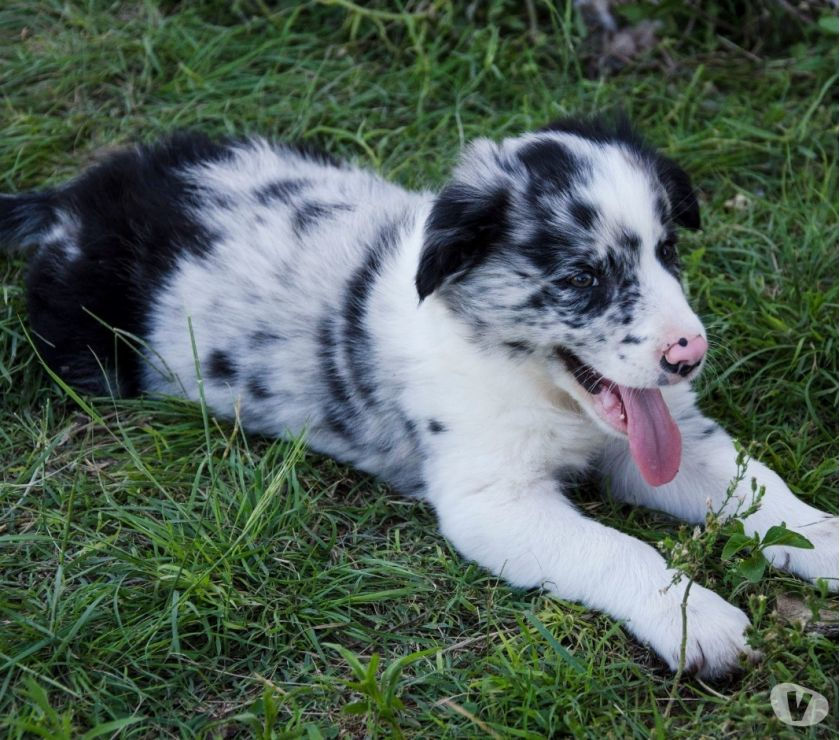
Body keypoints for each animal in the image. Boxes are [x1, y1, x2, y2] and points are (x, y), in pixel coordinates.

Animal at [0, 117, 836, 676]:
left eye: (668, 251)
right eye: (582, 277)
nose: (689, 353)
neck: (539, 386)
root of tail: (71, 204)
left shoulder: (660, 444)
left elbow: (762, 492)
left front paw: (825, 540)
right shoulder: (492, 500)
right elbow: (617, 548)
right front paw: (697, 621)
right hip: (93, 356)